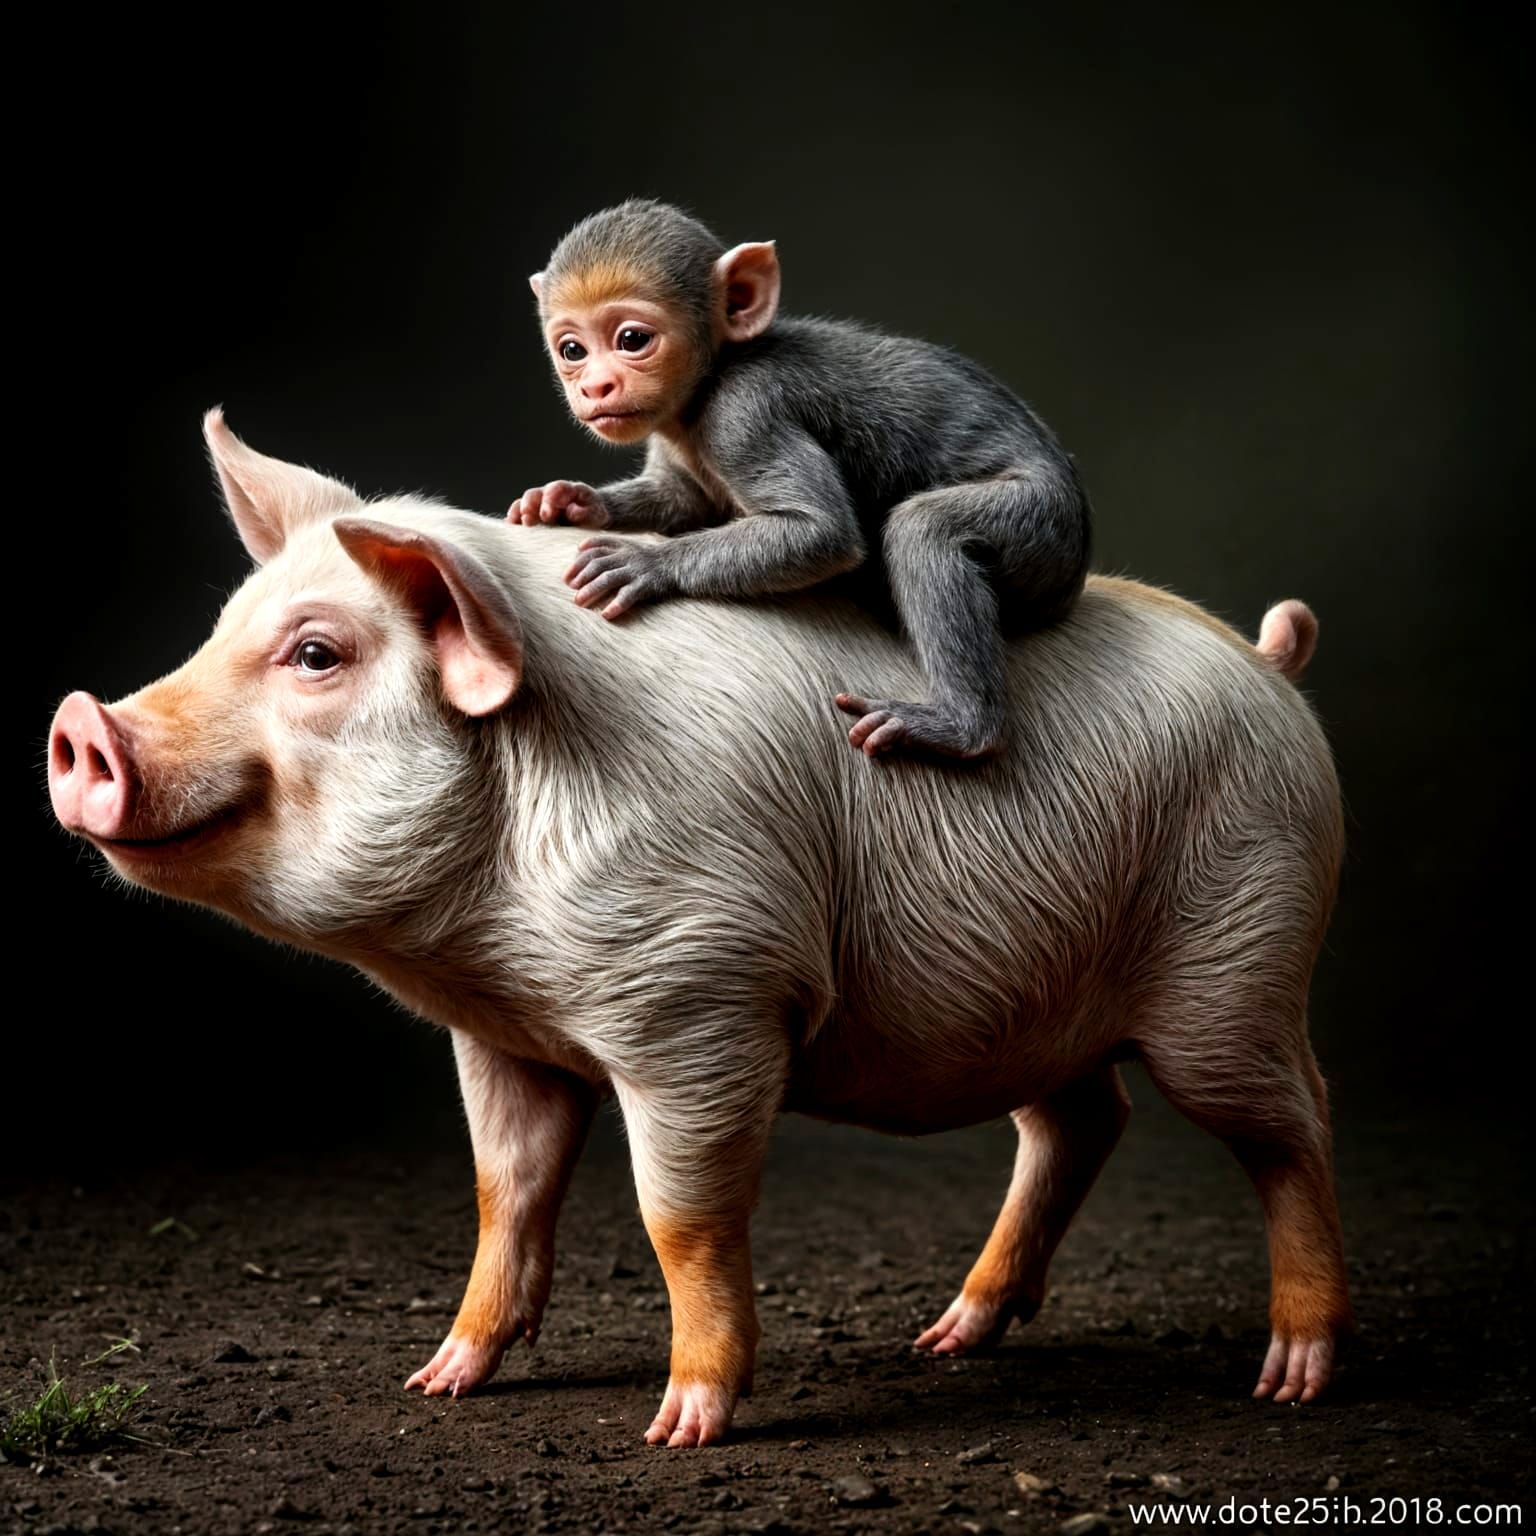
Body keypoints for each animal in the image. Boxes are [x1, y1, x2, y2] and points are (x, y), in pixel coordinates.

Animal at [47, 412, 1350, 1448]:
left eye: (316, 653)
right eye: (221, 631)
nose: (83, 721)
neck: (495, 943)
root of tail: (1269, 665)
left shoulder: (705, 997)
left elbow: (680, 1218)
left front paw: (678, 1429)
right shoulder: (506, 1037)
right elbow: (504, 1191)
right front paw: (437, 1382)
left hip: (1240, 956)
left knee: (1292, 1126)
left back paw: (1288, 1382)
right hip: (1048, 1002)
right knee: (1082, 1119)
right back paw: (946, 1340)